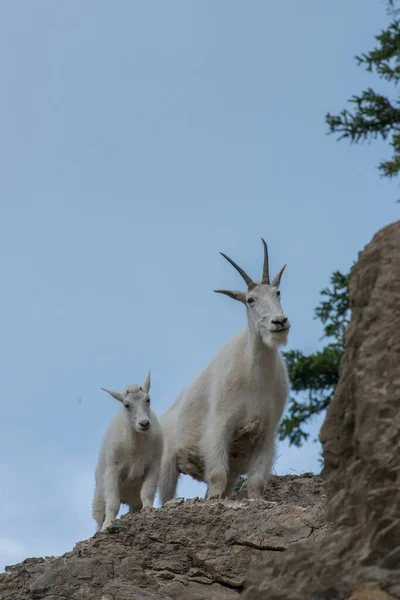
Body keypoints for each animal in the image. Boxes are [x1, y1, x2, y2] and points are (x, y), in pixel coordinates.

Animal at [159, 239, 290, 502]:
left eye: (277, 292)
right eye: (250, 299)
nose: (279, 322)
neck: (255, 376)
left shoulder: (266, 434)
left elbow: (256, 482)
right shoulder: (220, 427)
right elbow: (217, 475)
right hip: (166, 465)